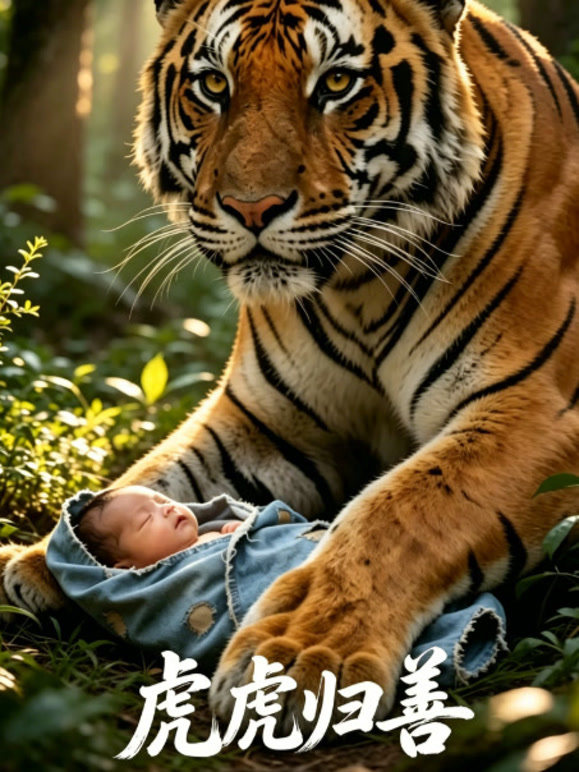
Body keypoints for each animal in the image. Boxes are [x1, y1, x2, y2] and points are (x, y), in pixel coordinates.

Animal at [2, 0, 579, 724]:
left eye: (335, 83)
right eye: (213, 85)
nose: (251, 208)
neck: (360, 288)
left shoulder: (532, 409)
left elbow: (404, 510)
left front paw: (301, 654)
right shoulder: (267, 423)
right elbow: (160, 471)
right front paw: (41, 556)